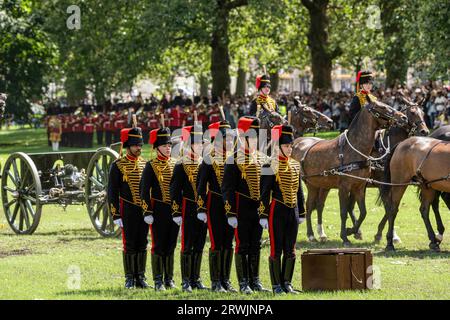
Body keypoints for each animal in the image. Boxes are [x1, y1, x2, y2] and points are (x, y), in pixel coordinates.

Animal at [292, 101, 408, 246]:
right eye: (381, 107)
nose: (403, 117)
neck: (355, 150)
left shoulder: (359, 187)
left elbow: (363, 212)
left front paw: (352, 231)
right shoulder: (344, 188)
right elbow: (344, 212)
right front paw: (345, 237)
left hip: (323, 185)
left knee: (318, 205)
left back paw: (321, 234)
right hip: (311, 185)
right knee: (309, 206)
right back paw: (311, 235)